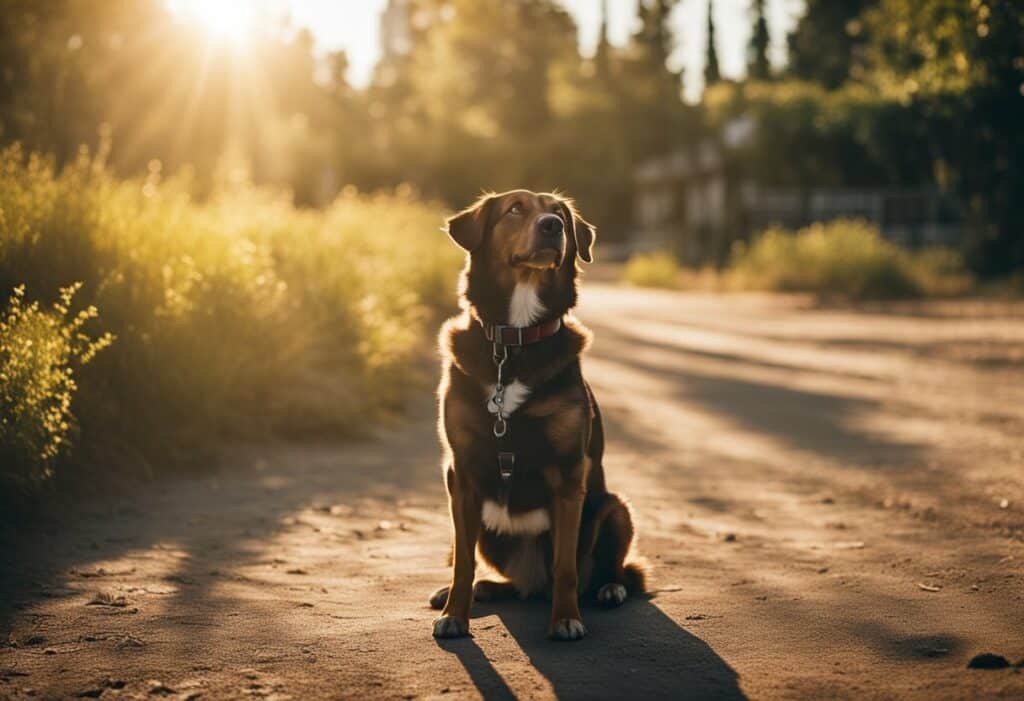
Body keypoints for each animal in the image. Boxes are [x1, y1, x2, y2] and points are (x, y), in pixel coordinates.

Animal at [430, 187, 638, 638]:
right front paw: (454, 614)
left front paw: (566, 619)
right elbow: (463, 562)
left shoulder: (569, 475)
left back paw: (609, 589)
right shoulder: (462, 474)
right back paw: (481, 590)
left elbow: (565, 567)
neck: (514, 342)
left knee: (614, 571)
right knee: (491, 571)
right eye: (515, 209)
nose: (552, 226)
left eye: (558, 212)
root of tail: (531, 582)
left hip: (615, 509)